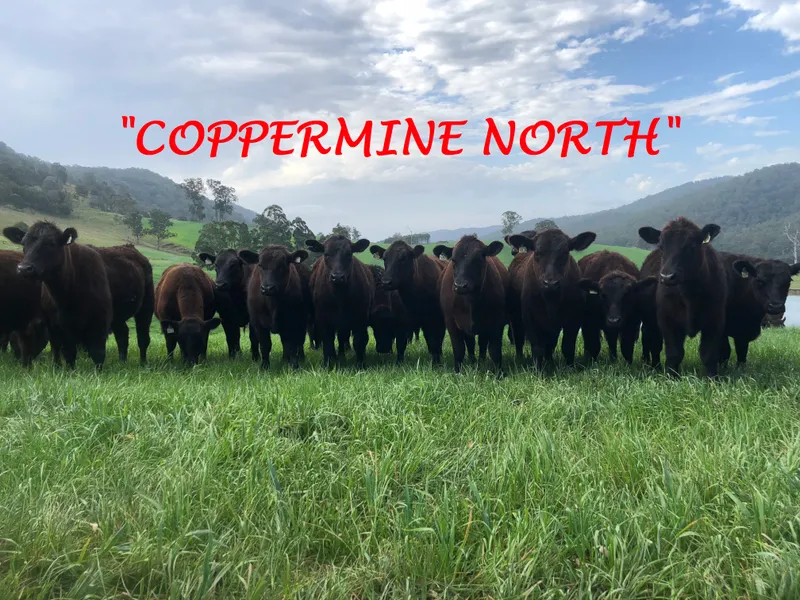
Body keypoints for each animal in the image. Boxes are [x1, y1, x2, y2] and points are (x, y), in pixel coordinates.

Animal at [3, 222, 113, 370]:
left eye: (51, 243)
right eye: (23, 243)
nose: (24, 268)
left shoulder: (101, 321)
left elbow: (98, 352)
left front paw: (98, 372)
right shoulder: (60, 326)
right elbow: (68, 352)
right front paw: (70, 371)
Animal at [305, 235, 374, 369]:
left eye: (349, 254)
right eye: (326, 254)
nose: (337, 277)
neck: (340, 296)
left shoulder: (361, 317)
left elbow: (359, 340)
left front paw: (360, 364)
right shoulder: (323, 318)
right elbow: (327, 341)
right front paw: (328, 364)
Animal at [436, 236, 509, 373]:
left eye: (478, 259)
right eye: (453, 260)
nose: (460, 285)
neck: (470, 302)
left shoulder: (497, 321)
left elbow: (495, 350)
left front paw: (499, 373)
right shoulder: (451, 322)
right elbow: (459, 349)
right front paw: (457, 372)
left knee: (482, 343)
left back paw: (481, 360)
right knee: (470, 343)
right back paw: (473, 361)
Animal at [506, 227, 596, 368]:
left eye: (565, 253)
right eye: (537, 253)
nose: (551, 283)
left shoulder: (574, 318)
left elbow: (567, 346)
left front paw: (570, 367)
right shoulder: (529, 317)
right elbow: (537, 347)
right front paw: (537, 369)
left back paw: (549, 360)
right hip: (515, 317)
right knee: (518, 338)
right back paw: (520, 358)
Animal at [638, 217, 727, 378]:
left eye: (692, 245)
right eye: (661, 246)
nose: (667, 276)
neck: (690, 294)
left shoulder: (716, 319)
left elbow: (709, 353)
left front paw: (712, 378)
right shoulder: (667, 320)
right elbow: (674, 353)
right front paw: (672, 377)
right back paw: (655, 367)